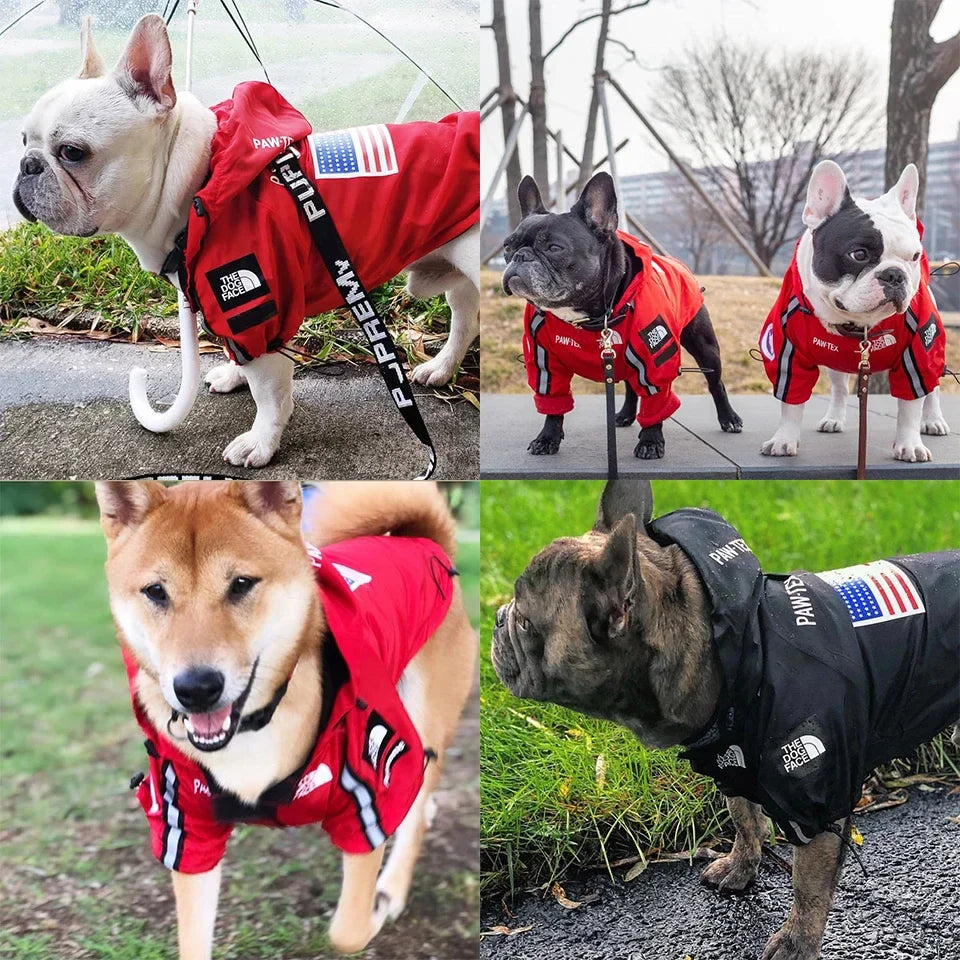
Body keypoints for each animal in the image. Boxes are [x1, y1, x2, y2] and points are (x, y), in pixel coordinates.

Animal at [94, 480, 476, 960]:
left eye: (241, 584)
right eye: (156, 592)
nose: (196, 688)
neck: (255, 726)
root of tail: (425, 542)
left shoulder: (368, 795)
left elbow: (348, 930)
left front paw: (373, 909)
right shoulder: (188, 827)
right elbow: (193, 939)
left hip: (422, 724)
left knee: (417, 804)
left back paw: (392, 883)